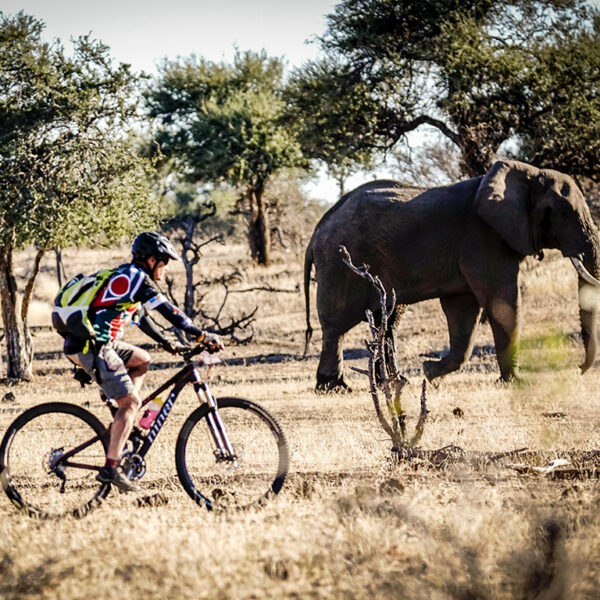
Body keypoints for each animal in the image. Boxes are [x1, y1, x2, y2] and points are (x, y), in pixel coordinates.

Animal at [304, 158, 600, 390]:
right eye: (564, 213)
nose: (578, 369)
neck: (526, 173)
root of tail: (317, 230)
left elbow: (463, 311)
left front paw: (429, 373)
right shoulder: (482, 236)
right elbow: (501, 301)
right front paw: (515, 383)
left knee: (386, 320)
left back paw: (395, 381)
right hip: (339, 263)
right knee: (337, 325)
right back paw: (334, 387)